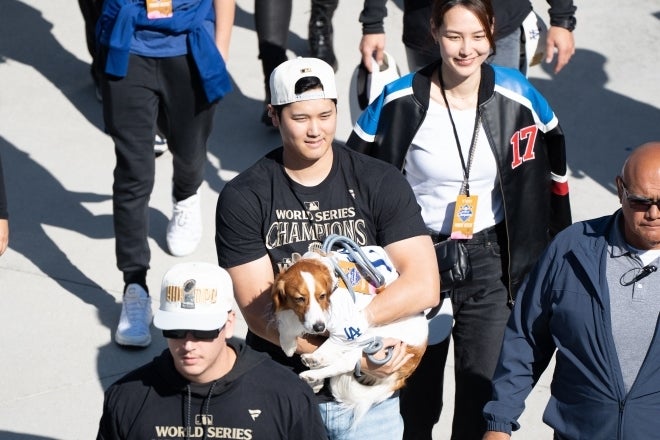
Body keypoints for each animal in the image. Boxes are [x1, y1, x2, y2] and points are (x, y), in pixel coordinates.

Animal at [270, 253, 428, 428]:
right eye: (299, 299)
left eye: (322, 296)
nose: (319, 327)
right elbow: (287, 325)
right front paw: (288, 344)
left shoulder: (348, 326)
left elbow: (332, 344)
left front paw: (316, 356)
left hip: (372, 339)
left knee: (345, 363)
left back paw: (313, 370)